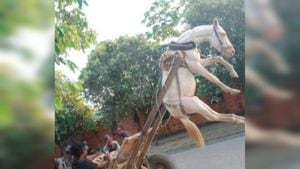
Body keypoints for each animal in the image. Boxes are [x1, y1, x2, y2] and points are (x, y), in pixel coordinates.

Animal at [162, 17, 244, 146]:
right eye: (223, 34)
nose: (232, 51)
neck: (183, 47)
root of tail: (176, 115)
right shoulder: (196, 66)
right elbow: (213, 78)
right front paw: (232, 90)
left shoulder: (200, 62)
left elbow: (218, 58)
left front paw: (233, 72)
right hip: (195, 105)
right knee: (212, 117)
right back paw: (239, 120)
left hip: (197, 101)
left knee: (214, 114)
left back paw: (240, 119)